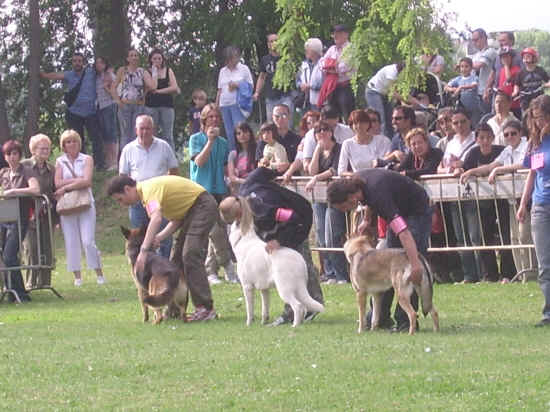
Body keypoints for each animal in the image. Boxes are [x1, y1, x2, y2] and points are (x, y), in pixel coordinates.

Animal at [221, 197, 324, 328]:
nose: (227, 223)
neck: (243, 239)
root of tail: (300, 261)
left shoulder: (247, 287)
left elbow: (250, 309)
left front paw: (248, 324)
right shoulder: (264, 289)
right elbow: (265, 309)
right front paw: (263, 323)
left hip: (284, 289)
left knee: (298, 306)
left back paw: (295, 326)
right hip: (298, 288)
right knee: (304, 307)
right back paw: (299, 323)